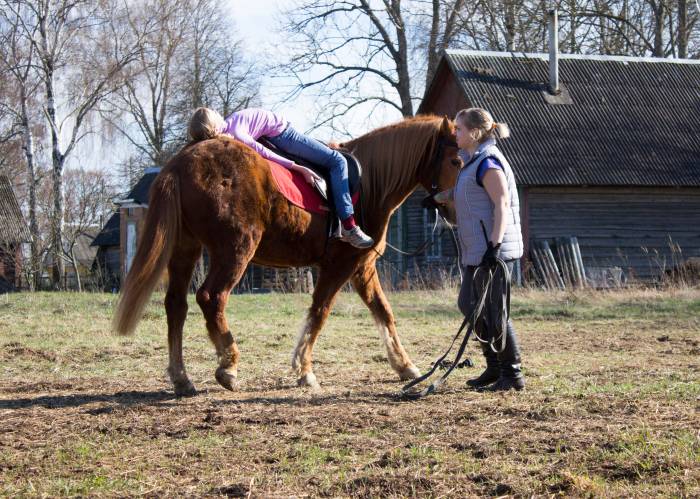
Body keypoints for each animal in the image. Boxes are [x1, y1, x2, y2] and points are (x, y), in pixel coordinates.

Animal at [112, 115, 462, 396]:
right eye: (457, 161)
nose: (454, 208)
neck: (370, 184)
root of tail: (180, 163)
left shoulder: (362, 268)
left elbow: (384, 313)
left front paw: (405, 366)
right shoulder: (339, 265)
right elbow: (319, 313)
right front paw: (305, 371)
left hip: (186, 248)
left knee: (176, 305)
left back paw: (182, 378)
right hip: (235, 250)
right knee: (211, 297)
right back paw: (228, 366)